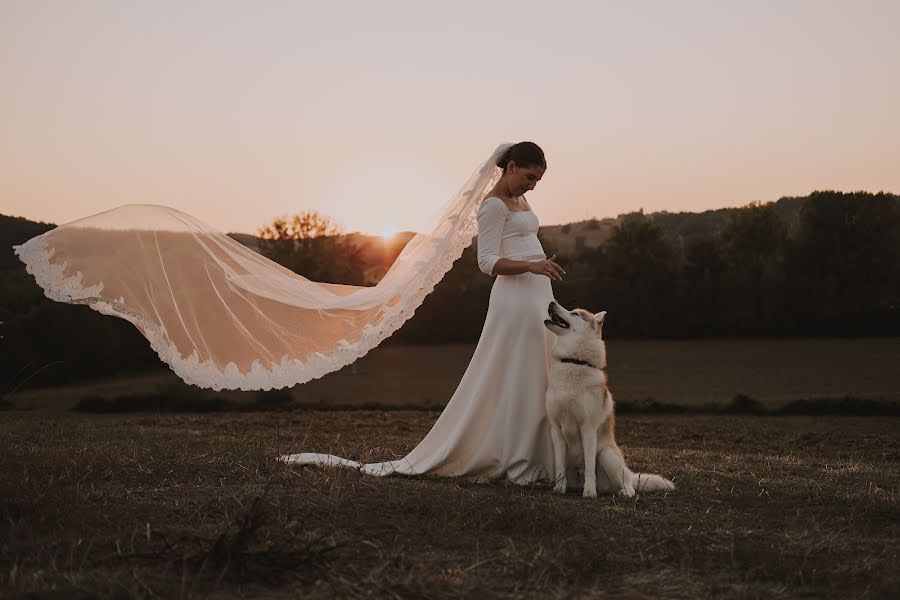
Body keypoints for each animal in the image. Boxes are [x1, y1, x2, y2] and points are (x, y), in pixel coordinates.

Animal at [540, 302, 676, 500]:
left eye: (575, 313)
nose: (552, 303)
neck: (574, 362)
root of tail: (630, 473)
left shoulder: (588, 429)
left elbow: (589, 466)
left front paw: (589, 492)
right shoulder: (556, 430)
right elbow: (559, 465)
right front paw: (559, 488)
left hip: (606, 455)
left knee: (629, 486)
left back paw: (623, 492)